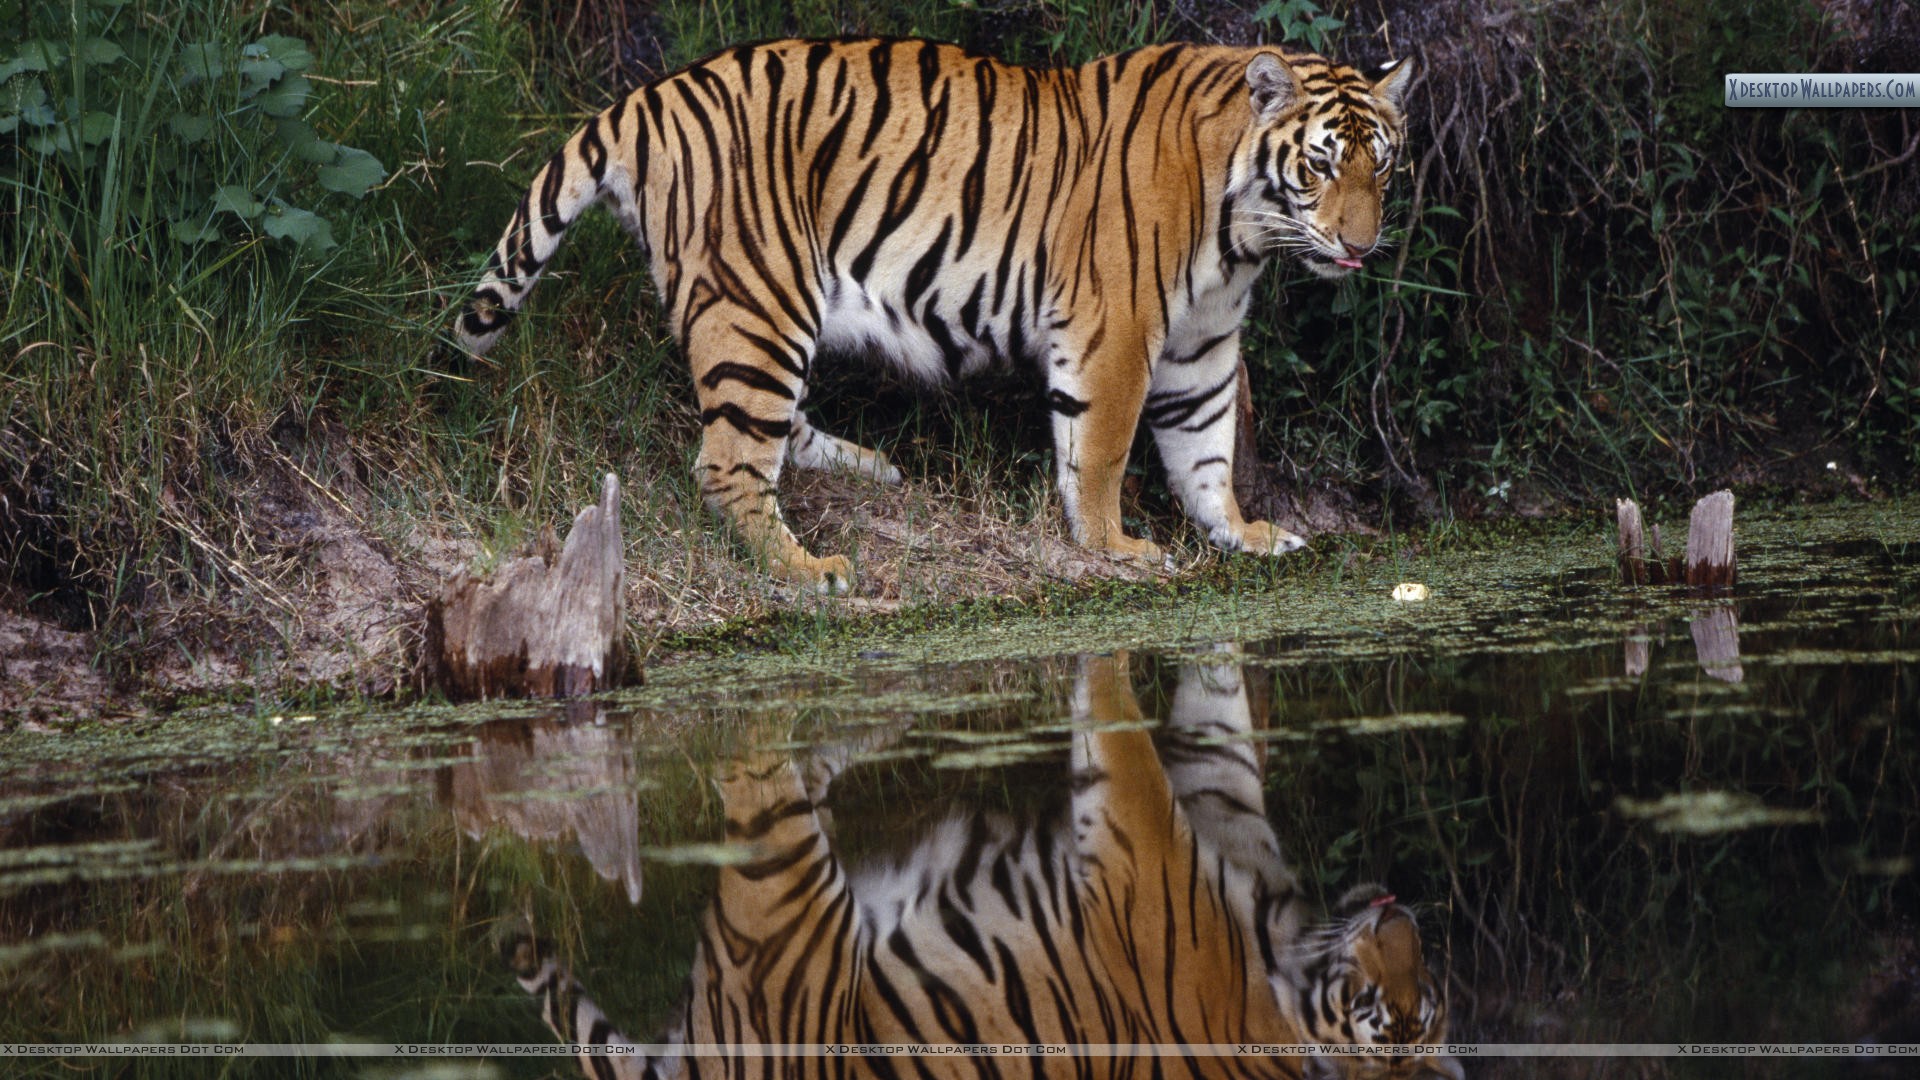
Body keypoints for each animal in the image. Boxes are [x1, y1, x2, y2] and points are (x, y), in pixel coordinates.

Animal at [453, 38, 1415, 593]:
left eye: (1382, 166)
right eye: (1320, 166)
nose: (1361, 247)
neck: (1242, 231)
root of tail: (647, 98)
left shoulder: (1203, 342)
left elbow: (1208, 447)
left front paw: (1244, 535)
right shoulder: (1115, 329)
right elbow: (1101, 449)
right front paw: (1116, 547)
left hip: (763, 314)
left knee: (769, 427)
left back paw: (868, 468)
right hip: (759, 298)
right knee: (727, 462)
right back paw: (811, 569)